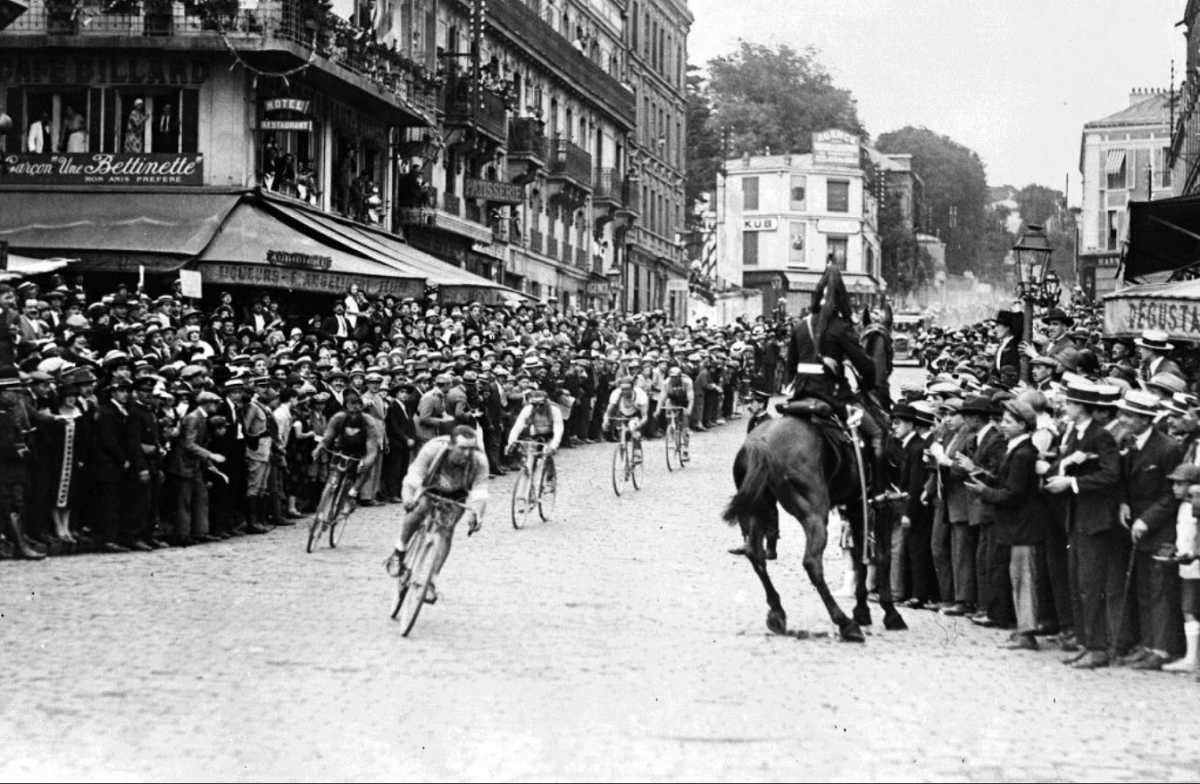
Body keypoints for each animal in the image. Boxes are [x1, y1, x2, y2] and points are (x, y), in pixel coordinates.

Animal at [720, 413, 907, 638]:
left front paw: (862, 610)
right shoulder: (884, 508)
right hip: (815, 515)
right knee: (812, 563)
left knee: (756, 555)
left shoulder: (856, 505)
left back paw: (777, 613)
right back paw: (845, 623)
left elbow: (860, 556)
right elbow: (883, 556)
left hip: (759, 510)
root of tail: (760, 442)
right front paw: (891, 613)